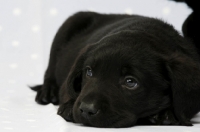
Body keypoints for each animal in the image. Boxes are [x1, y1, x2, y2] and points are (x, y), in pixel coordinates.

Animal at [30, 0, 200, 128]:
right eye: (89, 72)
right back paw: (48, 92)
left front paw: (166, 113)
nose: (86, 109)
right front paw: (69, 106)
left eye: (130, 82)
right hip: (69, 25)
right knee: (50, 70)